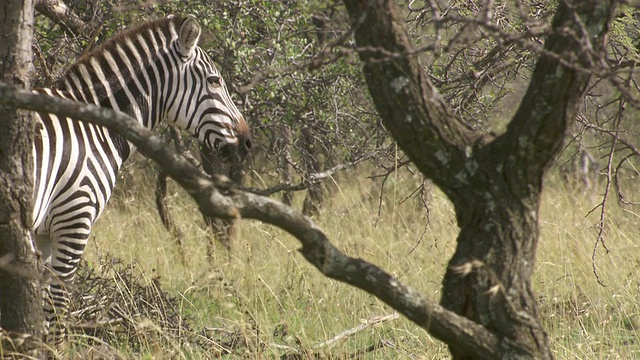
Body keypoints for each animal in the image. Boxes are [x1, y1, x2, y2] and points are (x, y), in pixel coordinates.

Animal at [30, 14, 251, 346]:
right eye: (214, 81)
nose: (248, 143)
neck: (94, 126)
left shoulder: (43, 232)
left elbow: (38, 305)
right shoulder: (75, 218)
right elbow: (57, 306)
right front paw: (55, 350)